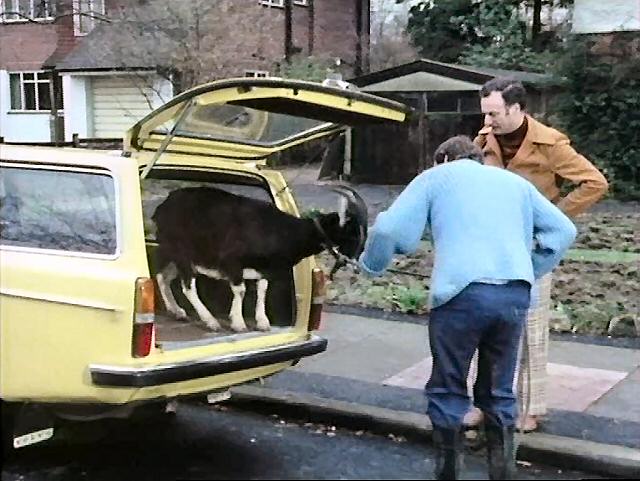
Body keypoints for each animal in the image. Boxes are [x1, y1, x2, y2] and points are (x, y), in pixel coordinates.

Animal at [152, 186, 368, 332]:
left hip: (175, 253)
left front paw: (263, 322)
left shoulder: (265, 268)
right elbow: (240, 290)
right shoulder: (232, 261)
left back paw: (177, 311)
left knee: (163, 276)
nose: (357, 267)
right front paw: (238, 323)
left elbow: (262, 288)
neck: (281, 231)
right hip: (181, 252)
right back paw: (210, 321)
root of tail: (161, 208)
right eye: (352, 235)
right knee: (187, 286)